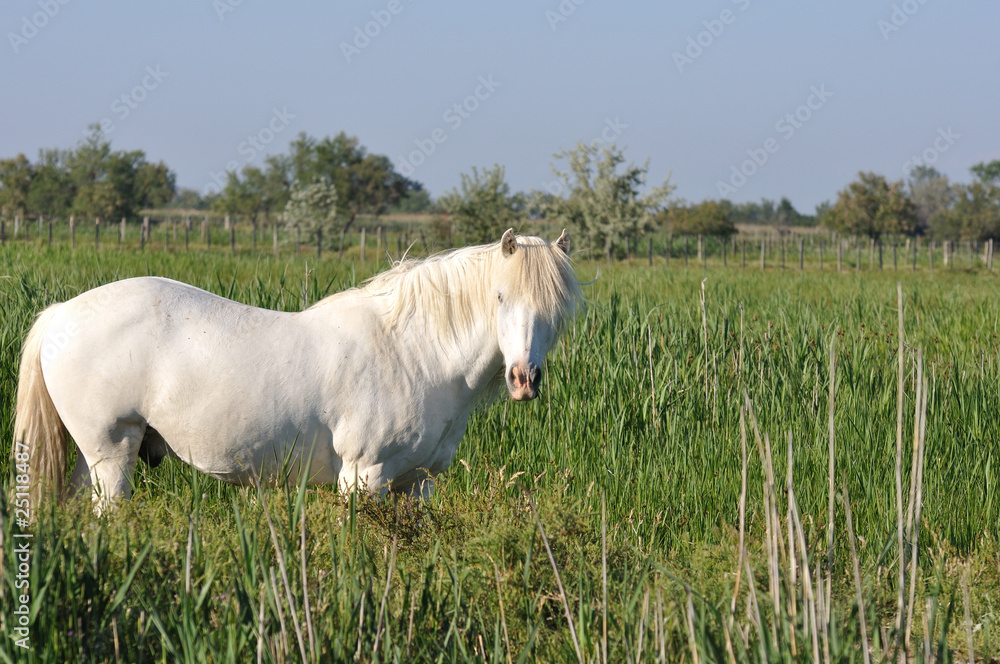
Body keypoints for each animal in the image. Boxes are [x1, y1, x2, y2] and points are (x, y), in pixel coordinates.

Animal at [12, 229, 581, 514]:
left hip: (89, 458)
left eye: (556, 310)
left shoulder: (418, 486)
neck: (412, 353)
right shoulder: (365, 478)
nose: (524, 380)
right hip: (111, 456)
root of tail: (61, 313)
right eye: (501, 296)